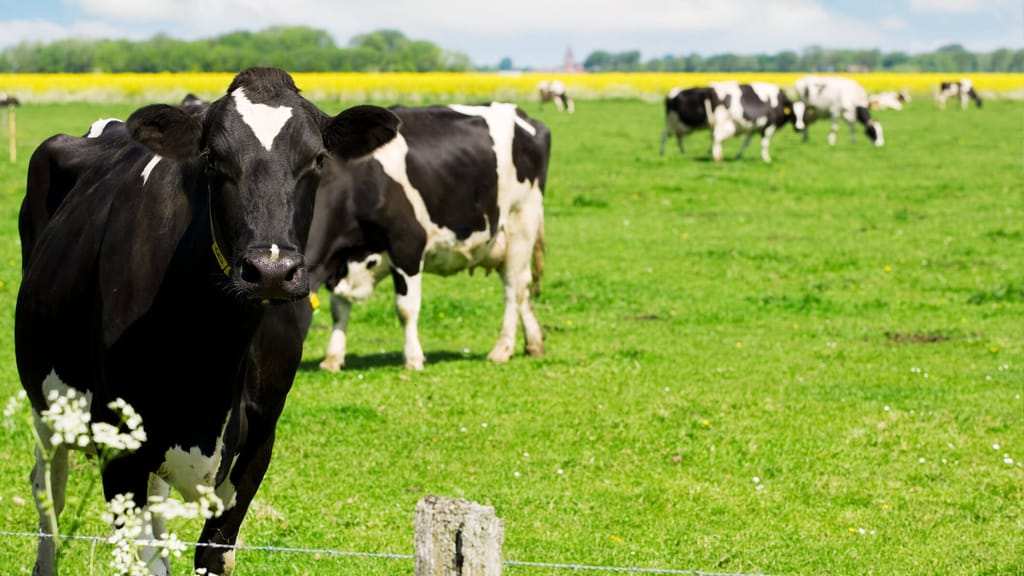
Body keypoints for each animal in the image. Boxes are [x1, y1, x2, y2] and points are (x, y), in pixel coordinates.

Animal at [15, 67, 399, 575]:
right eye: (212, 159)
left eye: (318, 159)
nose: (271, 271)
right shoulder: (120, 444)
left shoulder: (258, 441)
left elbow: (212, 554)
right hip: (47, 404)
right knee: (49, 494)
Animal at [305, 102, 550, 372]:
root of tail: (520, 113)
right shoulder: (341, 261)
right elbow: (339, 308)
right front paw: (332, 358)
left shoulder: (407, 244)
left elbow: (405, 308)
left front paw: (413, 358)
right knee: (521, 284)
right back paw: (534, 343)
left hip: (522, 220)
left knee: (514, 288)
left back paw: (502, 349)